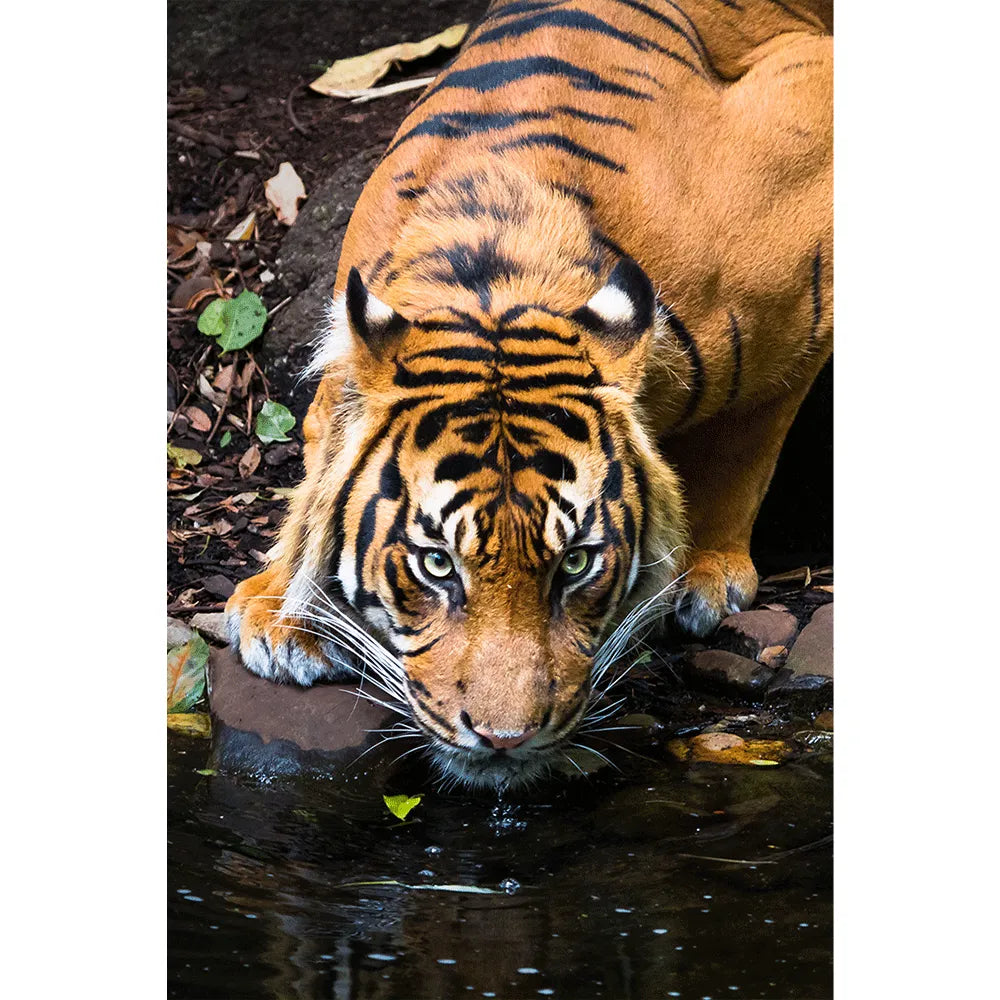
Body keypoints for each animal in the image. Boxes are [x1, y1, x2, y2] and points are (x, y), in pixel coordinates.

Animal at [223, 1, 832, 788]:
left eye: (577, 563)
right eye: (436, 565)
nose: (505, 739)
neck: (496, 273)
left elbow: (748, 436)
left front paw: (708, 569)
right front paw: (280, 611)